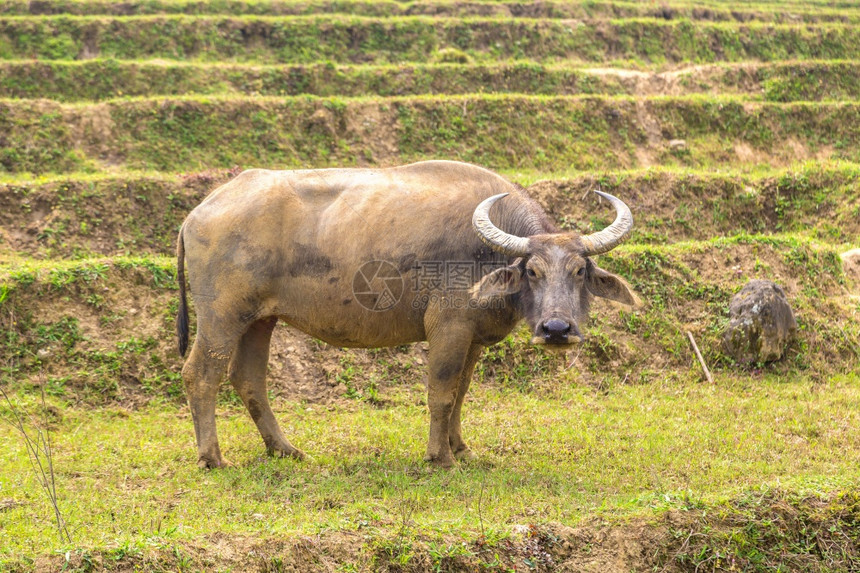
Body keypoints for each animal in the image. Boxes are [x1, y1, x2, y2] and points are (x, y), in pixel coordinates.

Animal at [176, 159, 632, 466]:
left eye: (579, 271)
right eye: (532, 271)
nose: (556, 329)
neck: (486, 251)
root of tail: (199, 211)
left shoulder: (472, 339)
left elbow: (462, 394)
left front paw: (461, 449)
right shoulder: (448, 328)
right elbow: (441, 393)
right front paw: (439, 458)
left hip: (259, 319)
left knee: (247, 377)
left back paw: (285, 450)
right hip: (221, 316)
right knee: (201, 373)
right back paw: (212, 457)